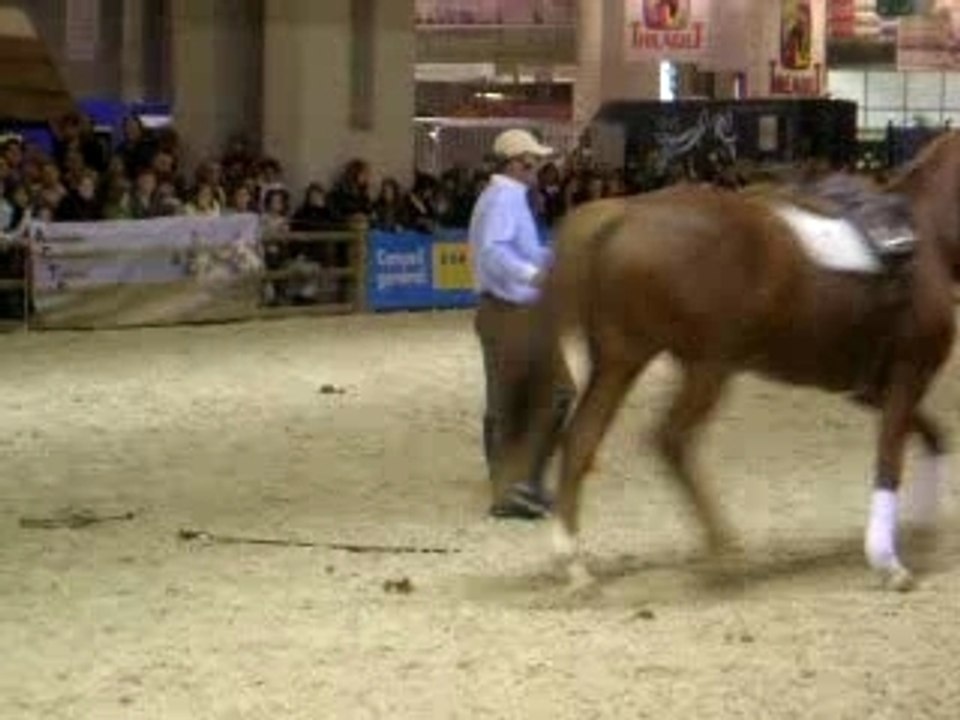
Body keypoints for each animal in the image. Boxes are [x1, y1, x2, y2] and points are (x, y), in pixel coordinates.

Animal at [495, 130, 960, 593]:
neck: (926, 239)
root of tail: (622, 213)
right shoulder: (908, 374)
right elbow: (890, 461)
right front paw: (888, 562)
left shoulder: (872, 389)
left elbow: (932, 437)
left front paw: (922, 532)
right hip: (706, 366)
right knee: (670, 439)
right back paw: (722, 550)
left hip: (622, 360)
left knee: (582, 439)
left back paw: (574, 560)